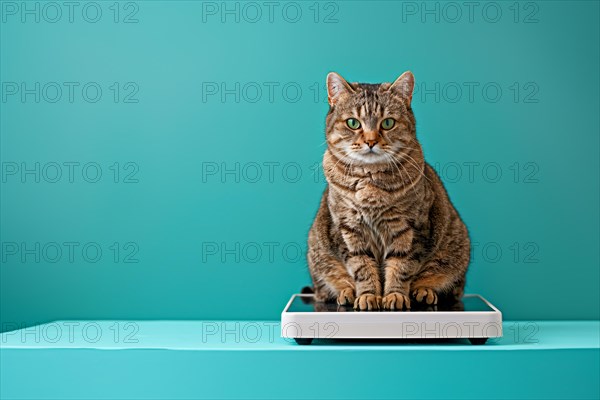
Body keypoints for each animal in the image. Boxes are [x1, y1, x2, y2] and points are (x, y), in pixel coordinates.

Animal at [308, 73, 472, 314]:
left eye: (387, 123)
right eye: (353, 123)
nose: (370, 141)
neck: (370, 182)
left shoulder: (410, 228)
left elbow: (401, 266)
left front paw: (395, 295)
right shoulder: (349, 229)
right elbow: (362, 267)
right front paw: (368, 295)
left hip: (456, 249)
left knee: (448, 287)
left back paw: (423, 292)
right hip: (317, 254)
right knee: (324, 289)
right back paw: (346, 292)